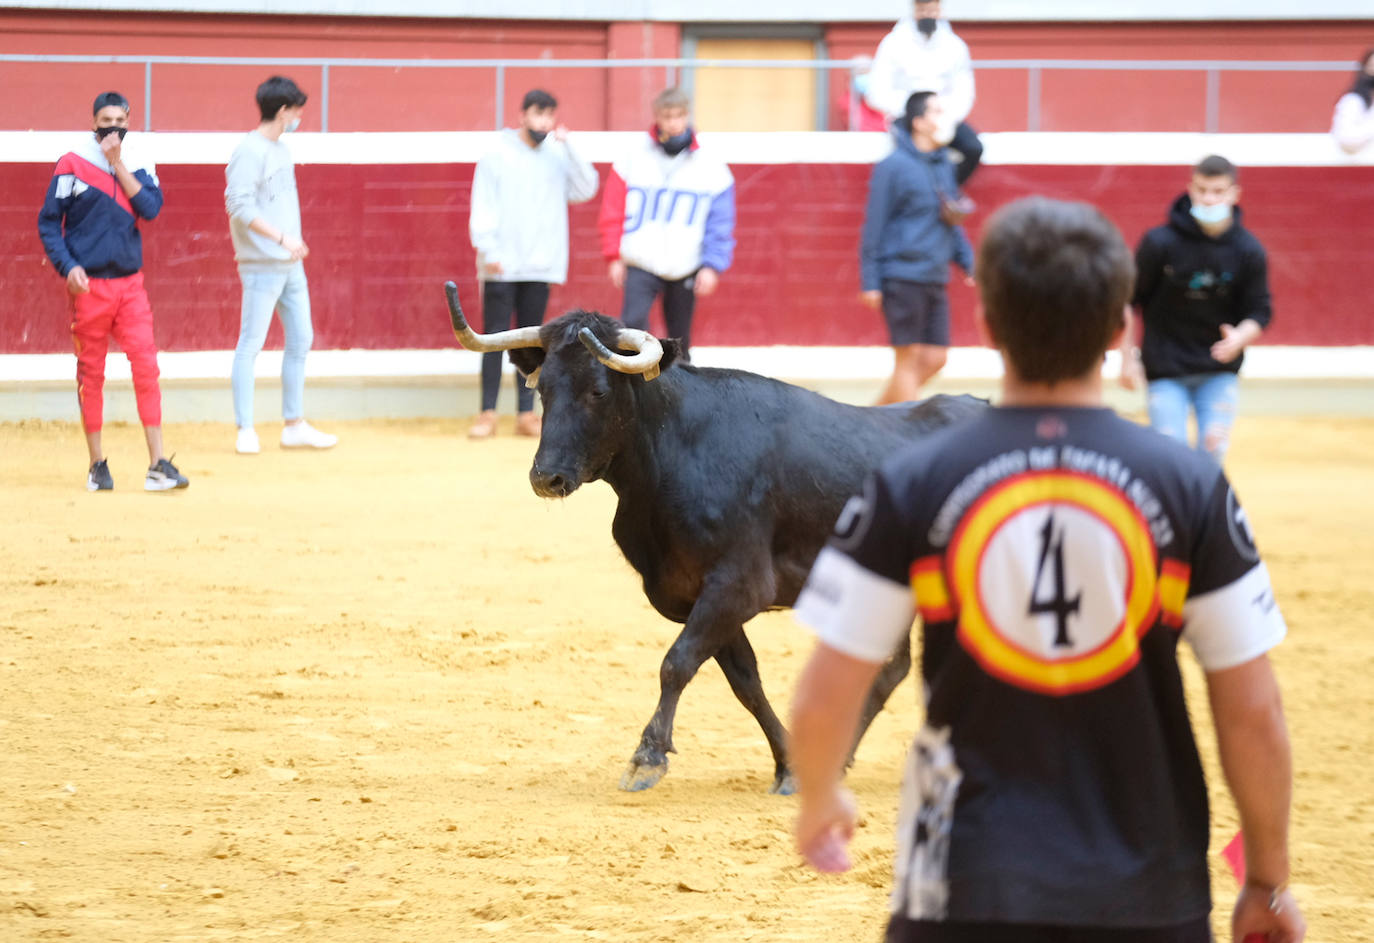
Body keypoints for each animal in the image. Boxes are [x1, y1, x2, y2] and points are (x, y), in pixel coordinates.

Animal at [445, 283, 983, 797]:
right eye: (543, 391)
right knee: (892, 667)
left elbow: (677, 662)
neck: (671, 458)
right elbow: (745, 681)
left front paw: (646, 758)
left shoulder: (738, 586)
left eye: (598, 391)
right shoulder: (693, 596)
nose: (546, 477)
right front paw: (789, 767)